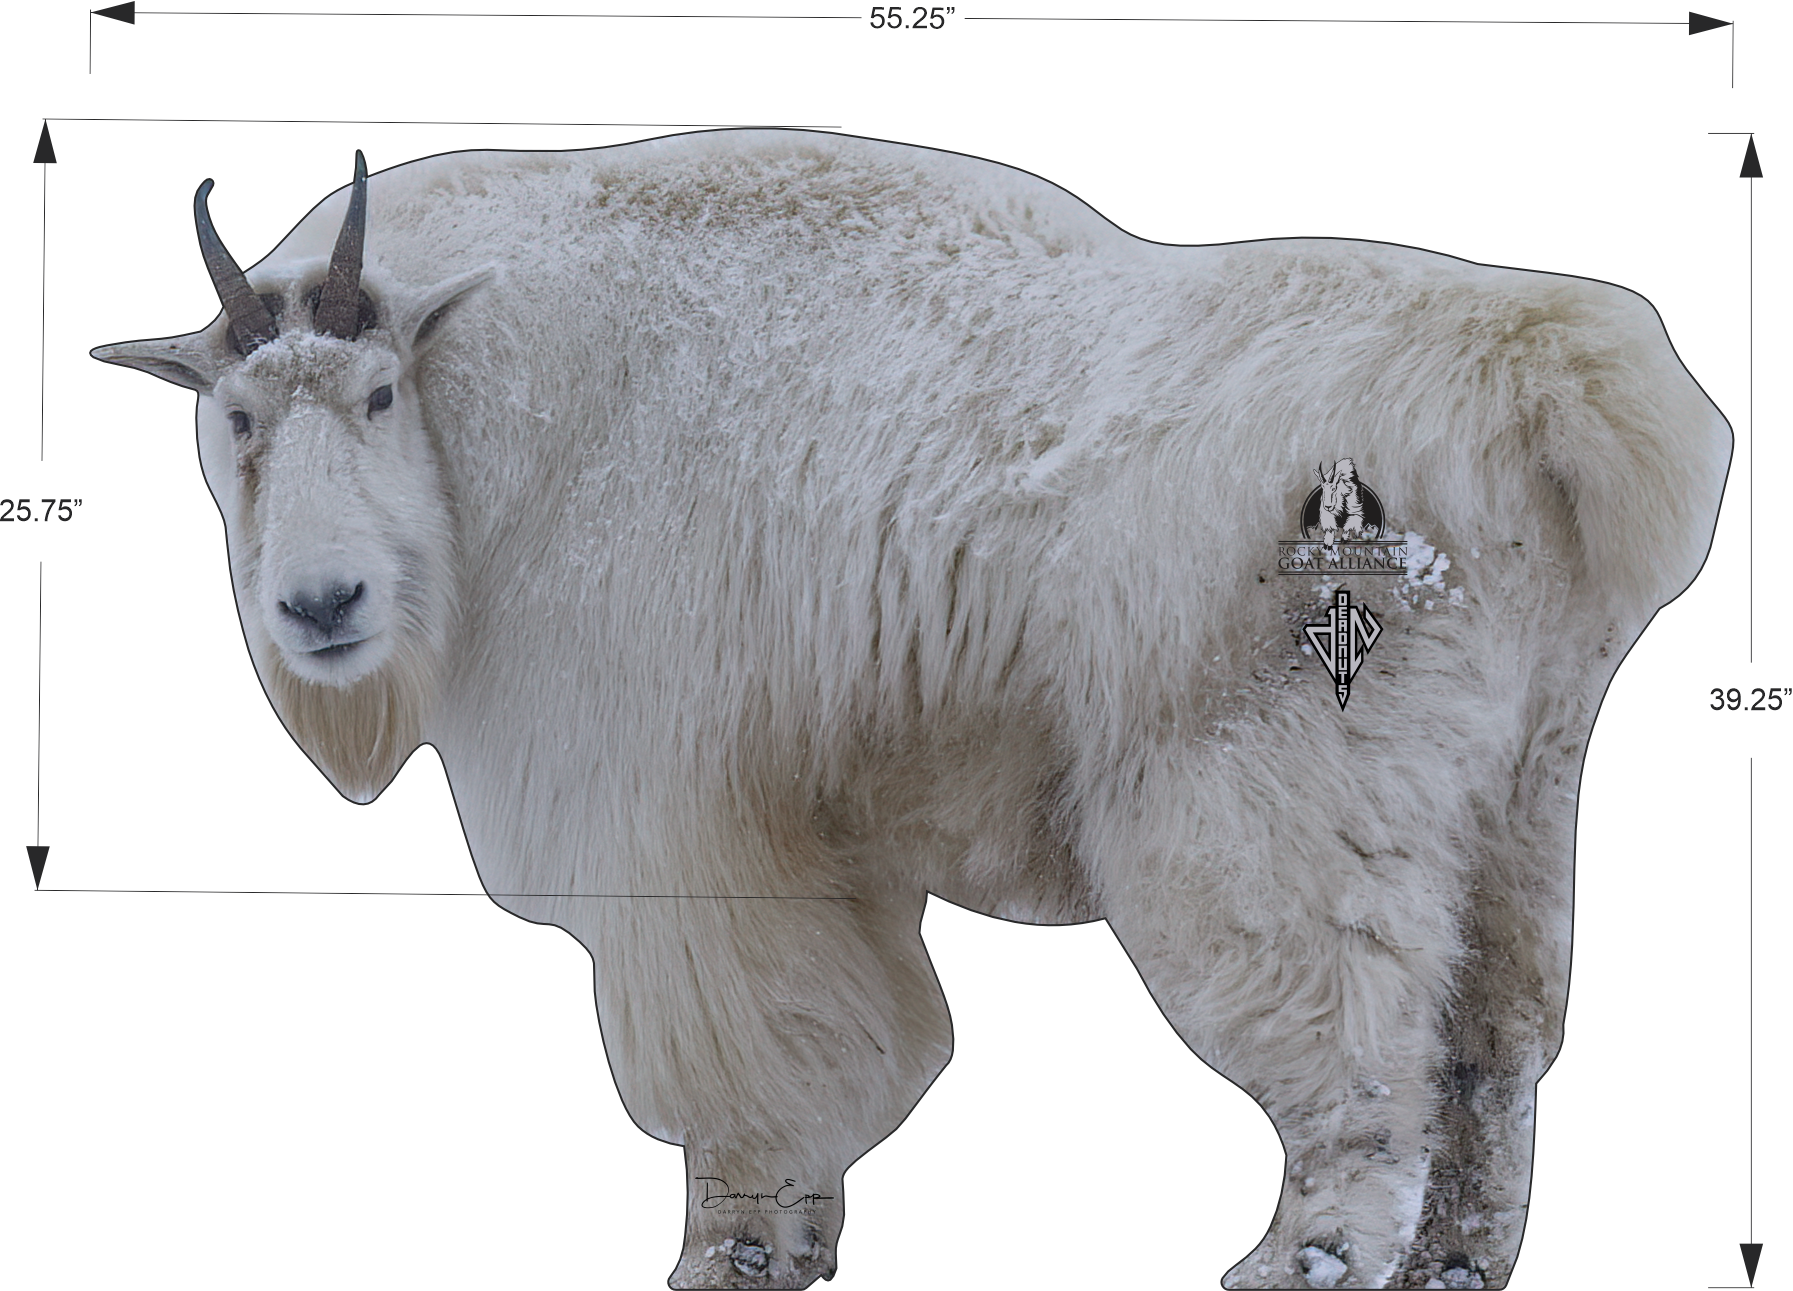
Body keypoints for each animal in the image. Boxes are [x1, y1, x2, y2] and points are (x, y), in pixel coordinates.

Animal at [91, 129, 1728, 1289]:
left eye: (376, 396)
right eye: (235, 417)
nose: (323, 605)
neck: (497, 411)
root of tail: (1537, 389)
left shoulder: (673, 799)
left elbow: (752, 1043)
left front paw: (734, 1252)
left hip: (1278, 760)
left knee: (1348, 1021)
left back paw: (1297, 1257)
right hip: (1518, 774)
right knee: (1494, 1036)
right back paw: (1457, 1258)